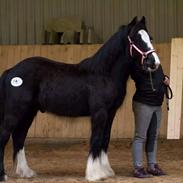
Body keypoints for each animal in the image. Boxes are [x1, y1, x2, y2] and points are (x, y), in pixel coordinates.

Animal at [0, 16, 160, 182]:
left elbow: (105, 139)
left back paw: (26, 172)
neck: (104, 73)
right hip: (14, 113)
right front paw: (94, 174)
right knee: (4, 137)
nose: (154, 62)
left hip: (29, 113)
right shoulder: (99, 113)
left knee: (19, 137)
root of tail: (11, 71)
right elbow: (96, 139)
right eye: (136, 38)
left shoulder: (110, 113)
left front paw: (106, 171)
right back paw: (3, 175)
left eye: (150, 38)